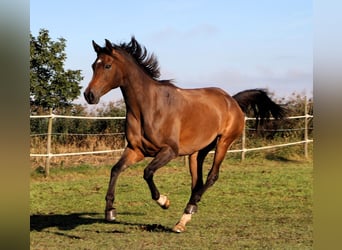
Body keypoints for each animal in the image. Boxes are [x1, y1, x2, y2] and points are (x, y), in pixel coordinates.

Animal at [84, 36, 284, 232]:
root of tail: (232, 101)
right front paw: (110, 211)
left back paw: (188, 210)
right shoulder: (136, 150)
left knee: (211, 177)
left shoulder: (169, 151)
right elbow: (115, 169)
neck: (148, 107)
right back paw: (184, 219)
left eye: (107, 66)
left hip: (223, 143)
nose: (89, 95)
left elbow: (148, 172)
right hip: (197, 153)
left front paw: (164, 202)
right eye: (94, 65)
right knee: (197, 182)